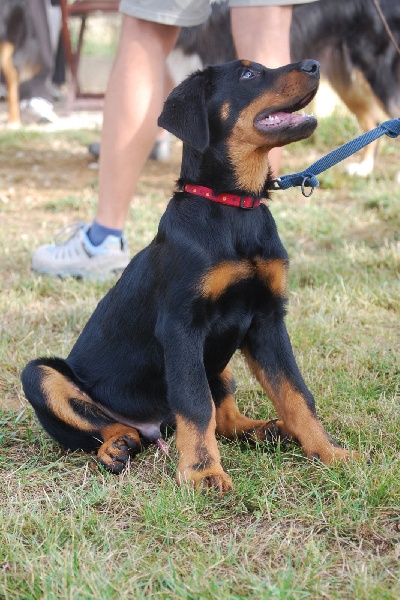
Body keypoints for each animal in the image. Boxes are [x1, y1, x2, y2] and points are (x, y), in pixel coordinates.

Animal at [22, 58, 355, 495]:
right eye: (248, 74)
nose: (315, 64)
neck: (233, 207)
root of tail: (154, 427)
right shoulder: (182, 327)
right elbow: (196, 406)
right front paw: (202, 473)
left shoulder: (267, 319)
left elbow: (295, 392)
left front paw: (328, 451)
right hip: (40, 376)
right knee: (108, 427)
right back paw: (116, 448)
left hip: (220, 358)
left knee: (224, 416)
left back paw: (264, 430)